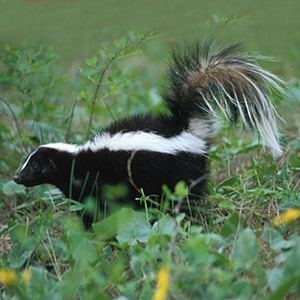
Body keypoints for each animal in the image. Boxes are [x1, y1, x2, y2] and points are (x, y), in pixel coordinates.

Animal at [12, 42, 284, 225]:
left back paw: (187, 219)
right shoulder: (81, 188)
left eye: (35, 167)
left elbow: (100, 208)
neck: (77, 159)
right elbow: (87, 207)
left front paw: (94, 228)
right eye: (26, 163)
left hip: (177, 174)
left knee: (185, 199)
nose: (16, 177)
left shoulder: (99, 181)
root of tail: (188, 129)